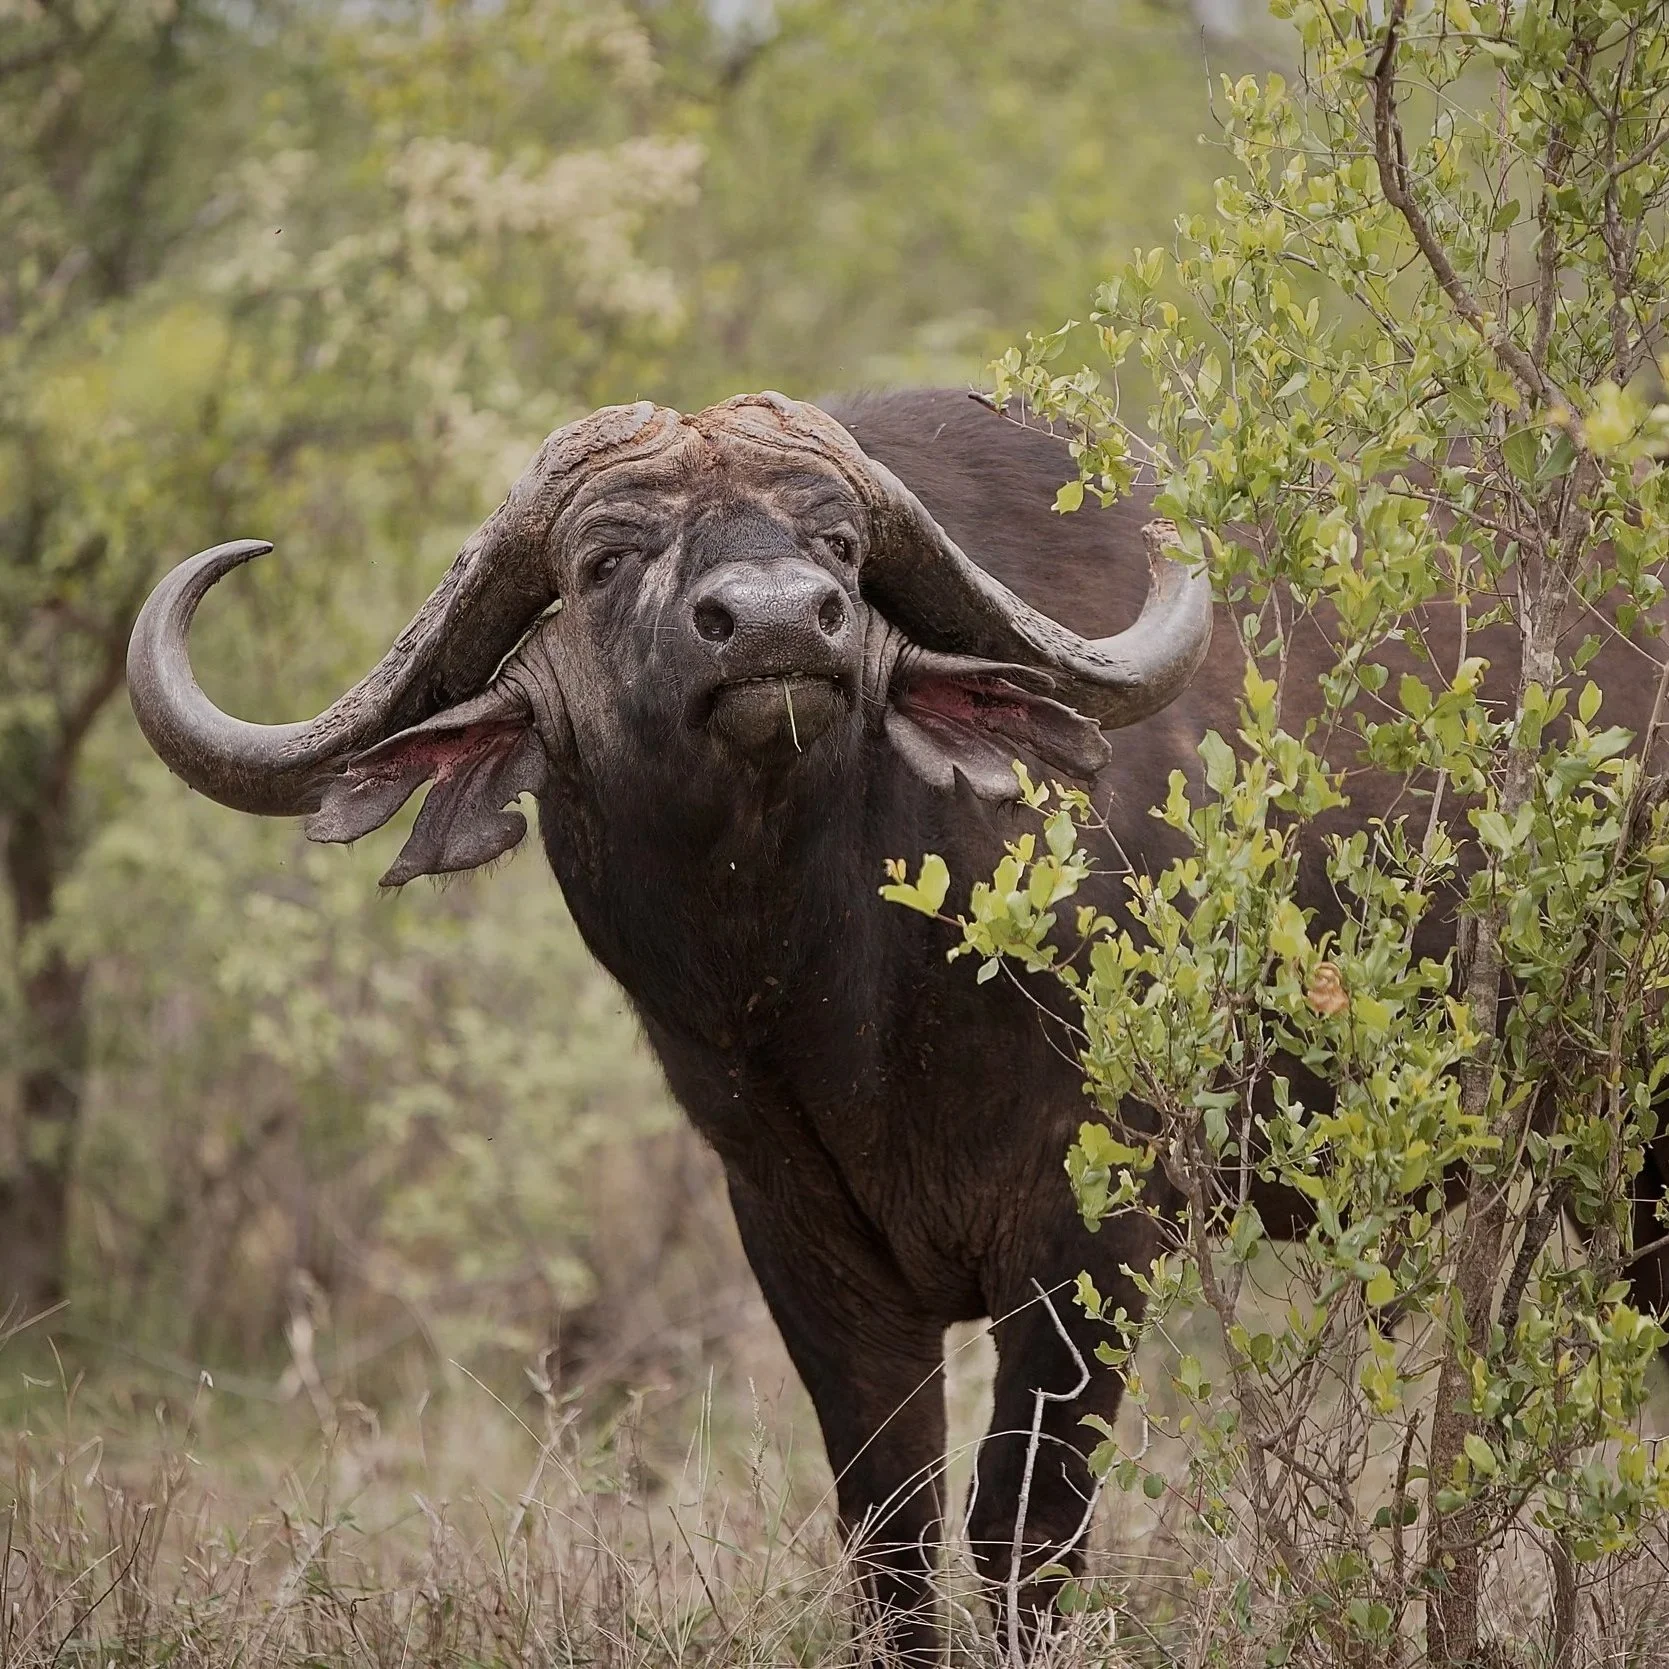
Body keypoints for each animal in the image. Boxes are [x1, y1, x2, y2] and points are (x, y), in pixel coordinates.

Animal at [124, 389, 1669, 1663]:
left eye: (839, 546)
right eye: (606, 560)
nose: (778, 622)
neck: (839, 989)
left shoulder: (1092, 1229)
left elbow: (1022, 1530)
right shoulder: (798, 1237)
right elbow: (890, 1534)